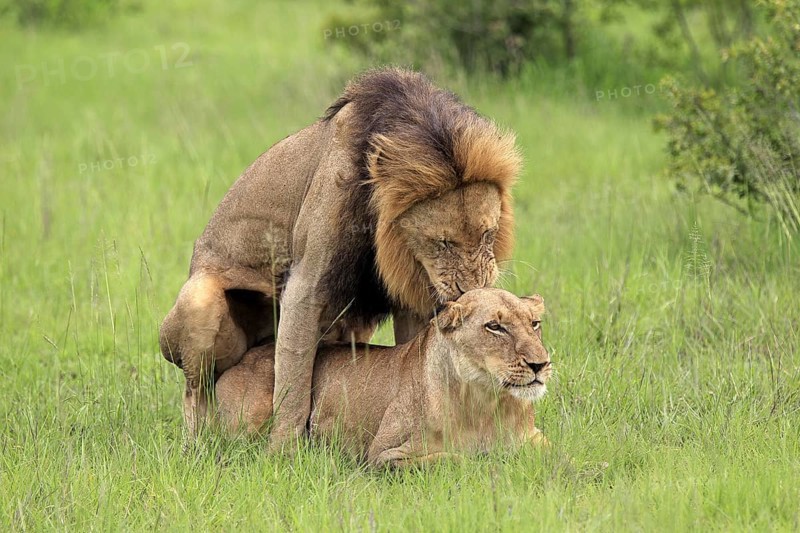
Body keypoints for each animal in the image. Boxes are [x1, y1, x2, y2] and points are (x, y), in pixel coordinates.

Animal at [159, 67, 521, 448]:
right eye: (443, 242)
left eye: (488, 234)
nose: (472, 290)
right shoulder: (305, 286)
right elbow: (293, 380)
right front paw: (284, 450)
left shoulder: (414, 292)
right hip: (199, 305)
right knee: (196, 391)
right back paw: (198, 443)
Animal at [215, 289, 550, 467]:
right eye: (495, 327)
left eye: (534, 324)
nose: (540, 364)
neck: (485, 402)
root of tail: (246, 356)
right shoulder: (383, 455)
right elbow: (452, 458)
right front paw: (487, 460)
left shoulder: (535, 438)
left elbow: (554, 454)